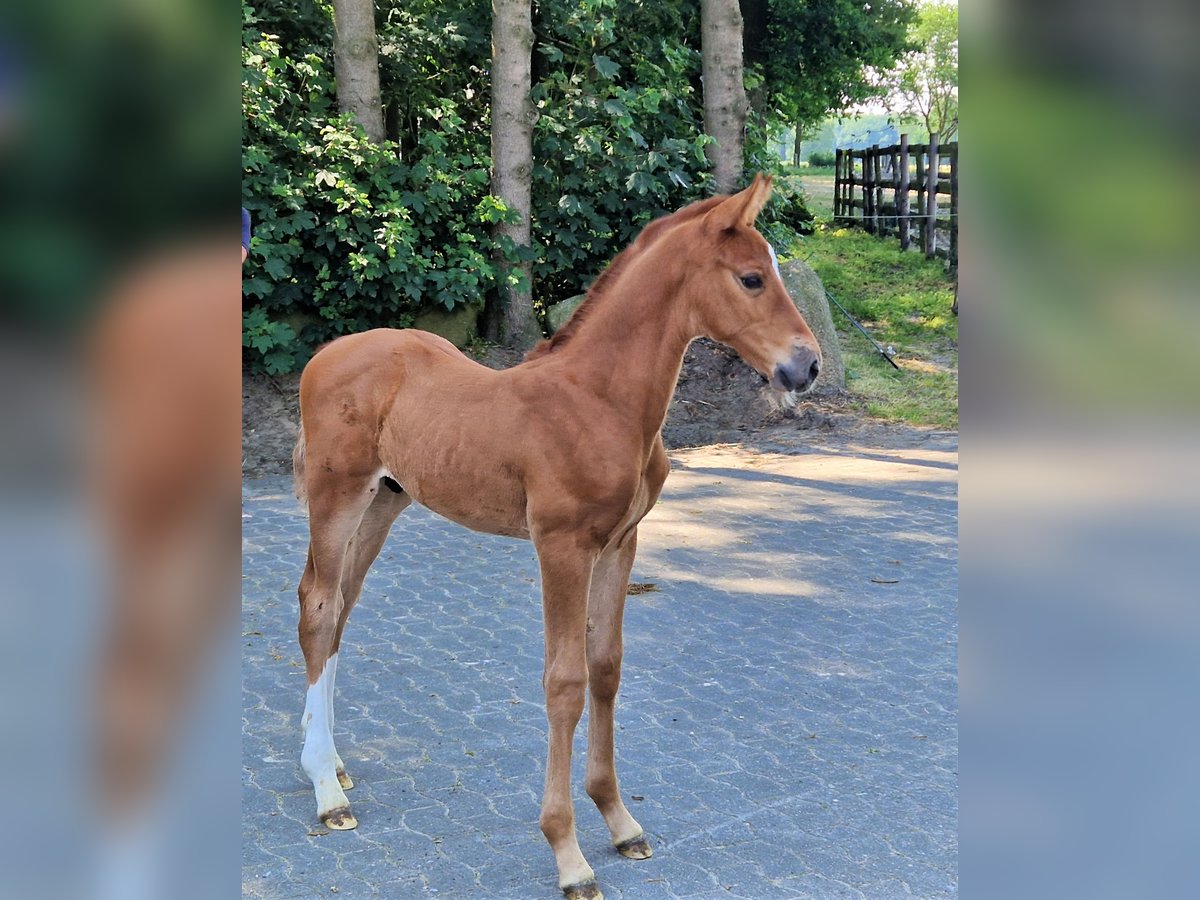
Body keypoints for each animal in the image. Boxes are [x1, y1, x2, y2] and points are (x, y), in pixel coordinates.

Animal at [295, 174, 825, 897]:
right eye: (750, 278)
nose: (809, 366)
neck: (597, 400)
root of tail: (325, 353)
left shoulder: (621, 543)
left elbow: (606, 668)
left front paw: (620, 821)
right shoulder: (561, 546)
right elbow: (565, 683)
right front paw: (568, 853)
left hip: (384, 502)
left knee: (342, 608)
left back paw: (331, 760)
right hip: (338, 496)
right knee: (319, 609)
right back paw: (327, 788)